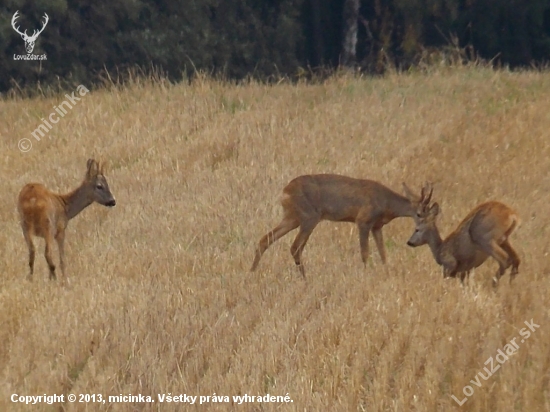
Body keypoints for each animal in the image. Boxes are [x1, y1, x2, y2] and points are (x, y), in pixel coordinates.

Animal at [251, 174, 436, 276]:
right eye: (419, 214)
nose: (426, 229)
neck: (387, 203)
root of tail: (285, 191)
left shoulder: (377, 226)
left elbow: (383, 253)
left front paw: (387, 272)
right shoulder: (363, 220)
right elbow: (365, 252)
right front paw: (366, 273)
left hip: (292, 217)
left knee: (265, 239)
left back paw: (252, 273)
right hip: (309, 217)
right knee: (295, 247)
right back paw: (305, 278)